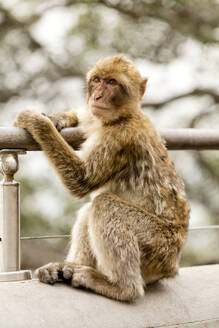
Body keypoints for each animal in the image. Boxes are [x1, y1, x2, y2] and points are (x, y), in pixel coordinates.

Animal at [13, 54, 190, 302]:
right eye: (97, 80)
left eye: (112, 82)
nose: (97, 96)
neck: (123, 117)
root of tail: (173, 265)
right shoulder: (97, 117)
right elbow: (84, 114)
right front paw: (58, 118)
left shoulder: (119, 139)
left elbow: (81, 180)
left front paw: (37, 121)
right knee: (90, 209)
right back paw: (68, 267)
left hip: (158, 246)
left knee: (104, 204)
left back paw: (120, 287)